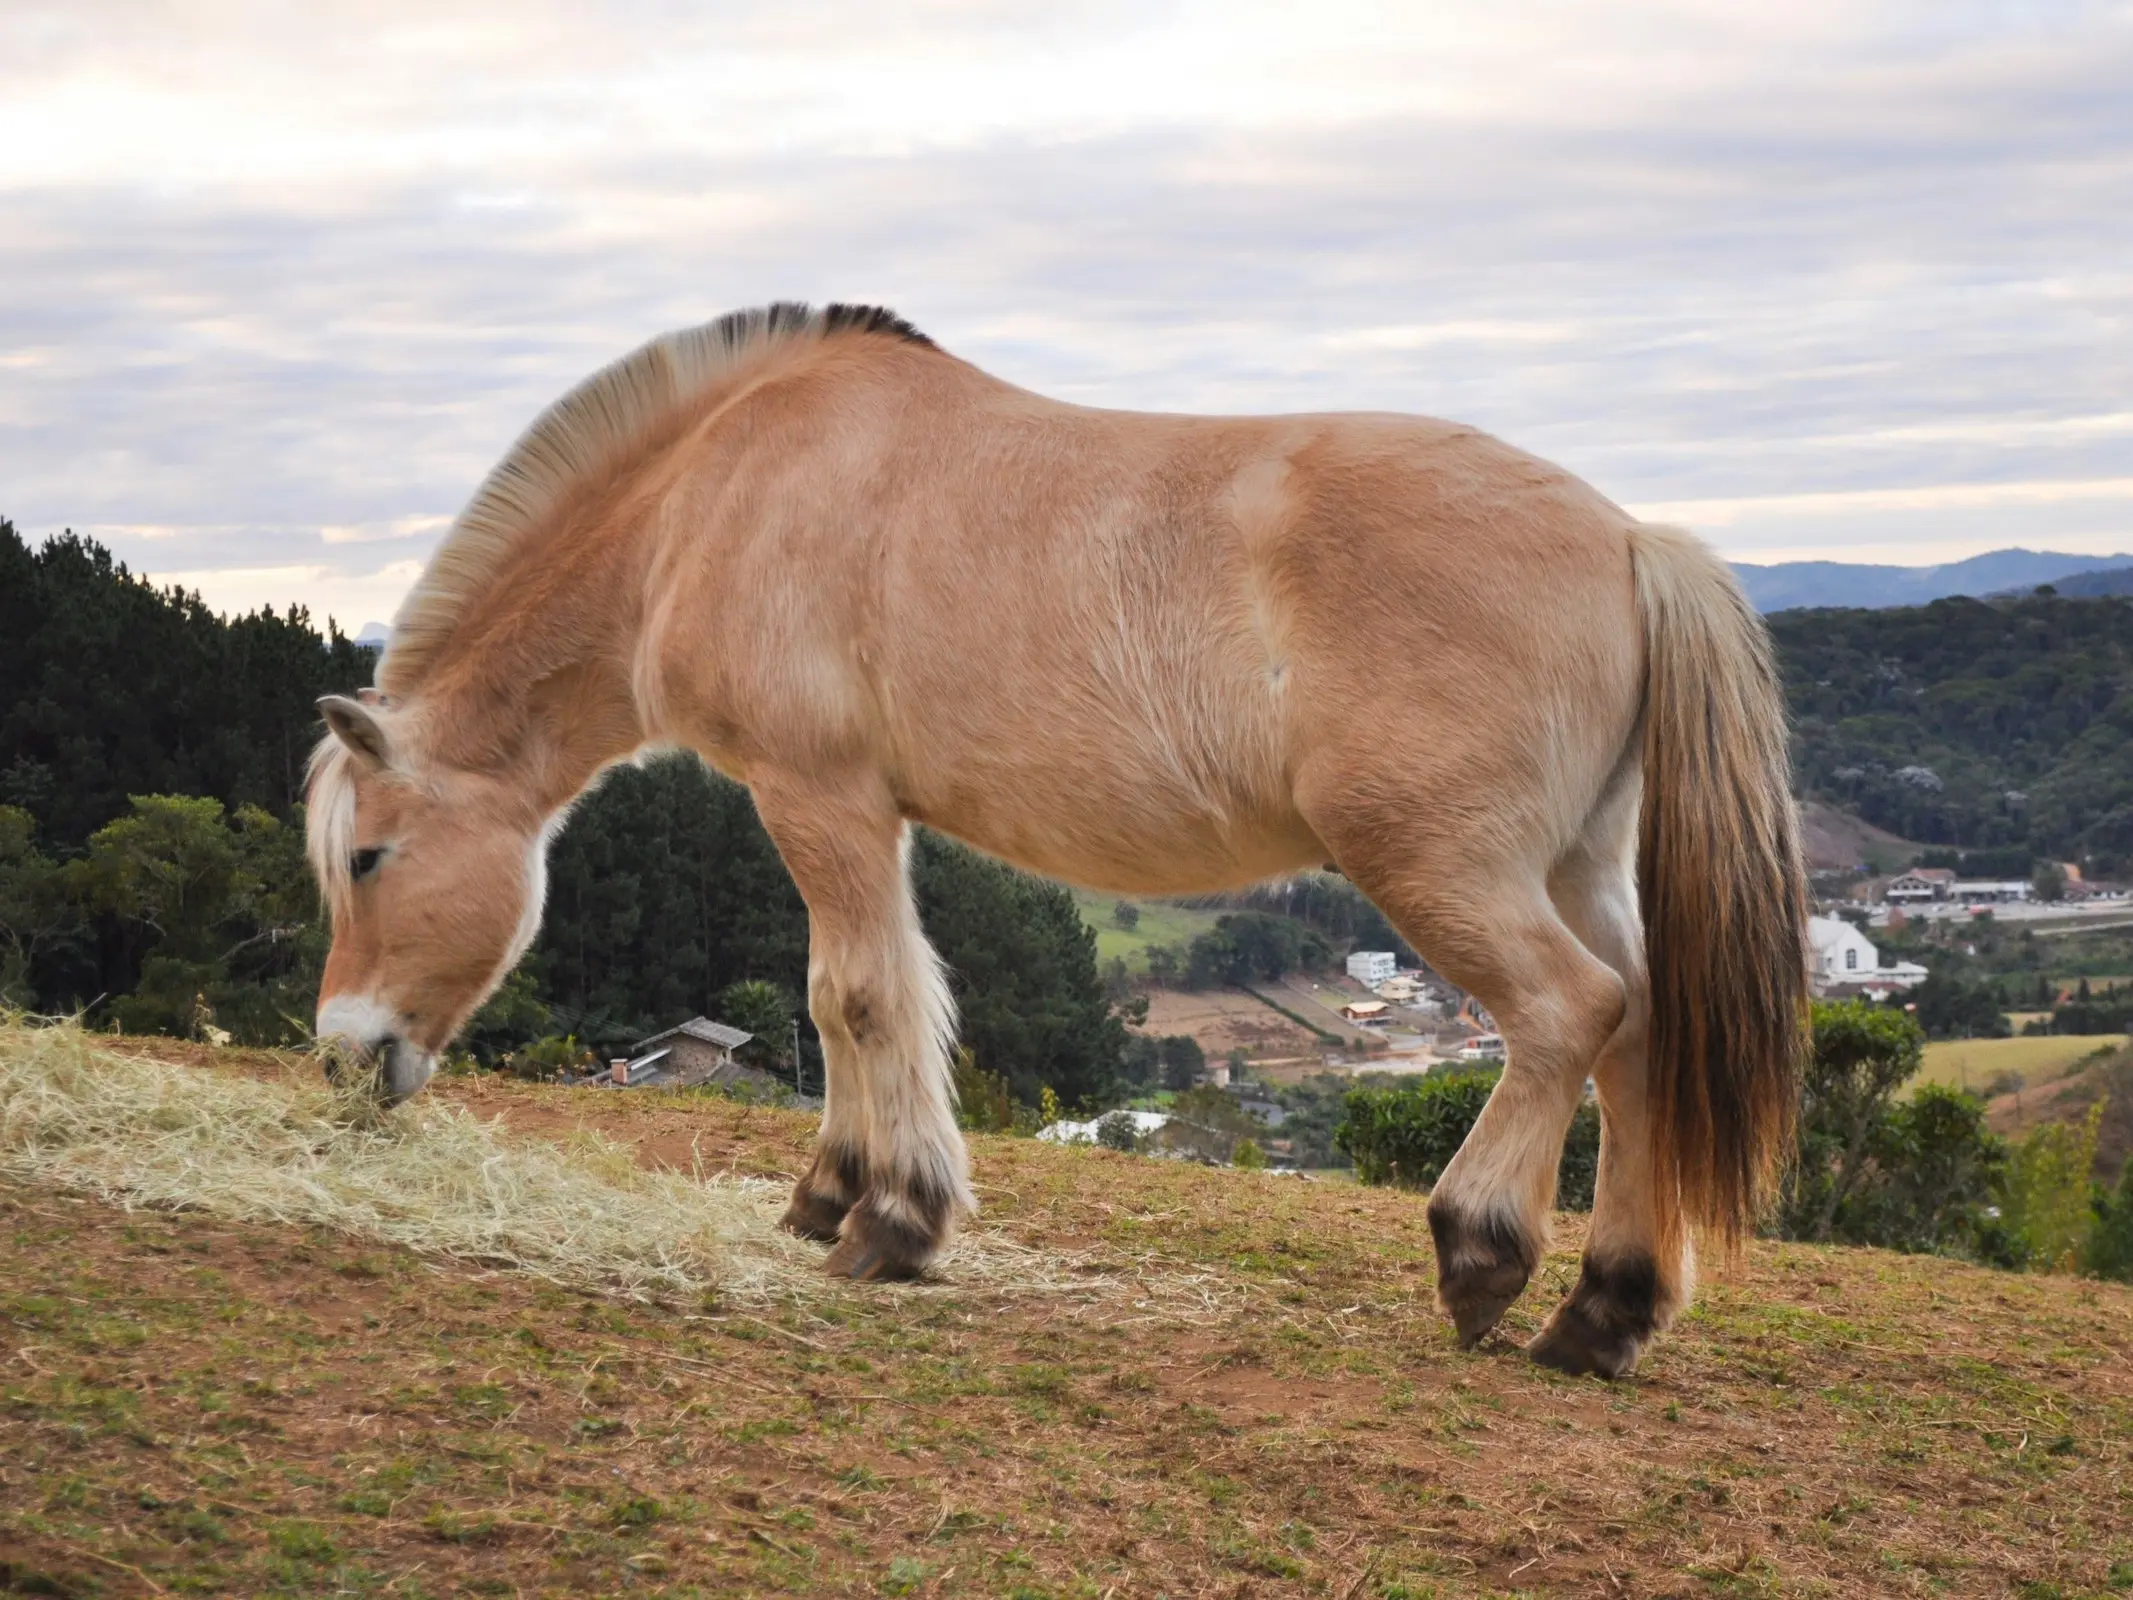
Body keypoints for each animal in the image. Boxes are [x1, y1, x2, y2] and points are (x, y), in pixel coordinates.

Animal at [305, 307, 1800, 1382]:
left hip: (1445, 868)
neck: (718, 489)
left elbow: (856, 995)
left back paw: (1483, 1254)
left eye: (368, 858)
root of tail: (1630, 540)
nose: (340, 1054)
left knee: (1569, 1011)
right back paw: (1602, 1315)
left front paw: (891, 1223)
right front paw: (831, 1193)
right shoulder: (862, 817)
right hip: (1574, 867)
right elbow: (856, 1001)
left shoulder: (817, 799)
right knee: (1642, 1031)